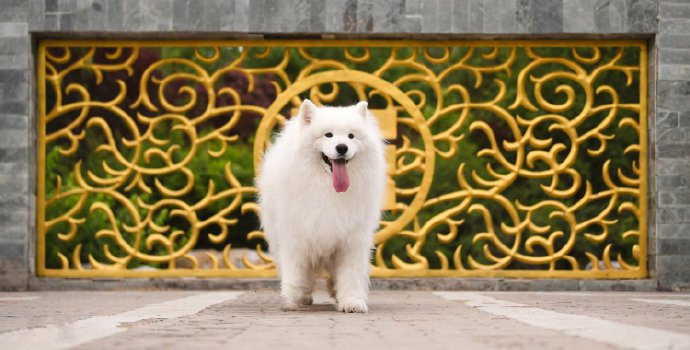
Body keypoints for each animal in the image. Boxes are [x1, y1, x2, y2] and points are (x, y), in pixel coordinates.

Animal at [256, 99, 388, 314]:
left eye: (351, 136)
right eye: (328, 135)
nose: (342, 147)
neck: (328, 188)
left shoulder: (352, 240)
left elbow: (351, 275)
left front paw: (351, 302)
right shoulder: (296, 234)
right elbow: (296, 269)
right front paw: (293, 298)